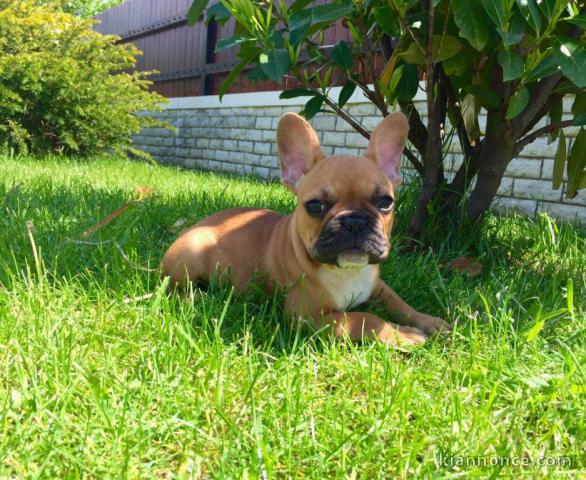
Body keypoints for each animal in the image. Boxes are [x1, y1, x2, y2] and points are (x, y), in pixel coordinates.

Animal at [162, 112, 450, 344]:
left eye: (385, 202)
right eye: (315, 206)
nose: (354, 221)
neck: (346, 272)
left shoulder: (376, 284)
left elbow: (399, 301)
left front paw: (429, 321)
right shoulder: (309, 316)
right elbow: (363, 318)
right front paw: (403, 334)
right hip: (191, 252)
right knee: (175, 289)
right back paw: (202, 298)